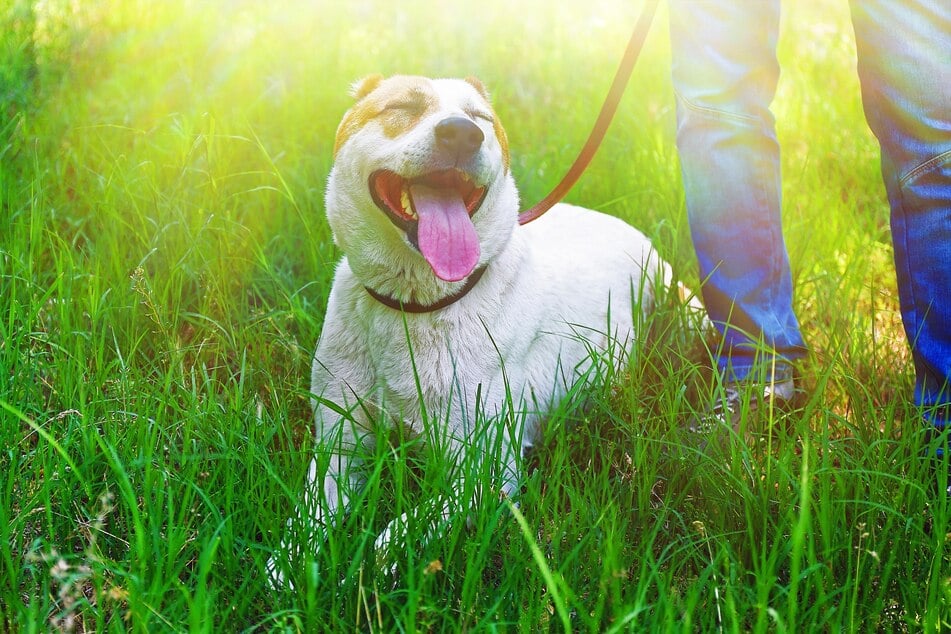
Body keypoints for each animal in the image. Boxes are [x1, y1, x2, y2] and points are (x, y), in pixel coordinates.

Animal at [268, 74, 700, 584]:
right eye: (403, 106)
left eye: (481, 119)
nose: (461, 134)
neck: (415, 307)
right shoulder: (340, 445)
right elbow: (309, 511)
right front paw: (289, 563)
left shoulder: (485, 471)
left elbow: (399, 531)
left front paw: (363, 575)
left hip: (683, 306)